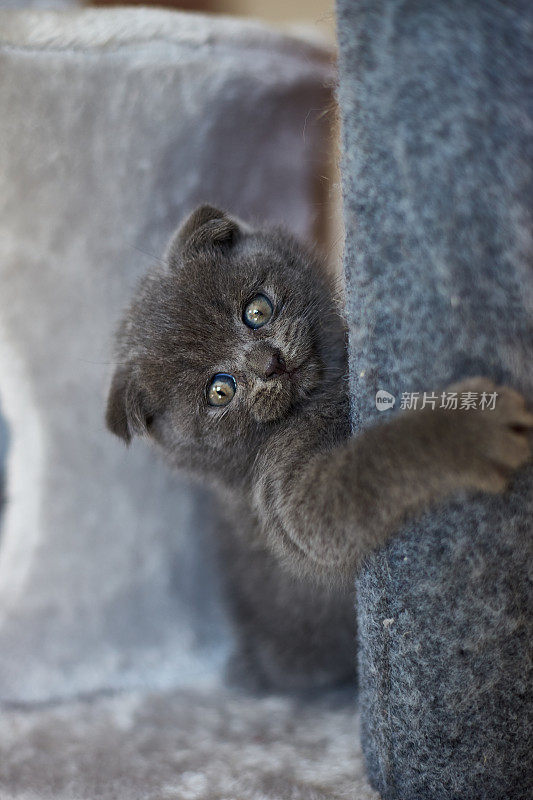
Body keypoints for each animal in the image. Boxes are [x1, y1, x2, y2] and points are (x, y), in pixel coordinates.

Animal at [106, 208, 528, 692]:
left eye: (257, 311)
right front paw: (472, 429)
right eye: (219, 391)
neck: (321, 395)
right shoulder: (281, 495)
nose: (270, 363)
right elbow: (366, 471)